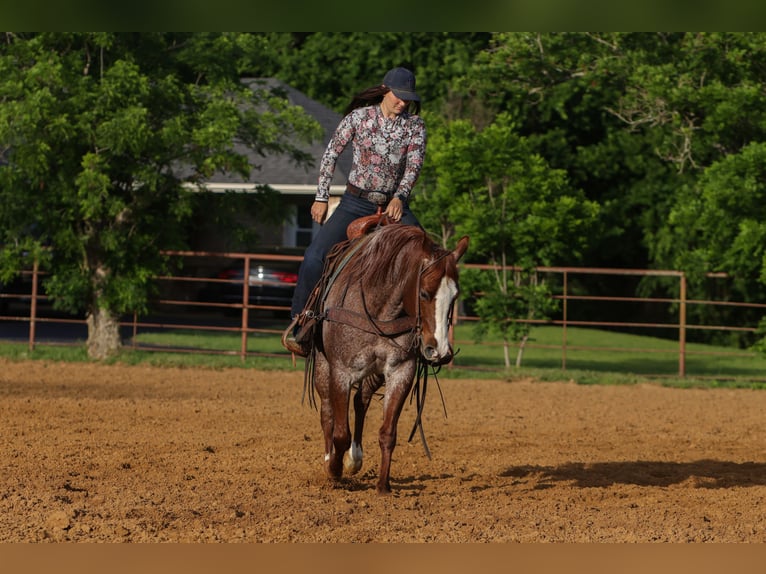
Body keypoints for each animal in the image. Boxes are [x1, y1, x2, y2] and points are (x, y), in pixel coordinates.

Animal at [300, 222, 469, 494]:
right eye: (424, 293)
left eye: (454, 296)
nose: (440, 351)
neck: (379, 310)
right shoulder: (341, 372)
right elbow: (340, 434)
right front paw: (335, 470)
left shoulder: (400, 372)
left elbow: (388, 432)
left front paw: (383, 486)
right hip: (323, 367)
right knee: (327, 411)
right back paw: (330, 460)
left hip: (375, 373)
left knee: (361, 400)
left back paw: (354, 458)